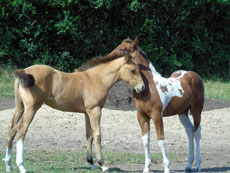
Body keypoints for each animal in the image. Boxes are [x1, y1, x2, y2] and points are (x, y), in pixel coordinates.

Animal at [2, 49, 145, 172]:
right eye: (133, 70)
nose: (142, 87)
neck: (96, 79)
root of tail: (24, 72)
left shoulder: (87, 113)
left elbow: (89, 135)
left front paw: (91, 163)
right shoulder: (95, 111)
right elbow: (97, 134)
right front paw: (102, 164)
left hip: (20, 107)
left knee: (12, 129)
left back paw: (9, 165)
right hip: (31, 108)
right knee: (21, 130)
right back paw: (21, 166)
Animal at [109, 38, 205, 173]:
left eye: (123, 49)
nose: (109, 57)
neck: (148, 87)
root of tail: (194, 75)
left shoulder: (157, 116)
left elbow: (161, 140)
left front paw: (167, 168)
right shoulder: (142, 115)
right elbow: (145, 140)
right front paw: (146, 168)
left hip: (196, 110)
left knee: (197, 132)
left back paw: (198, 166)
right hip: (182, 113)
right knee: (190, 131)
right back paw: (188, 165)